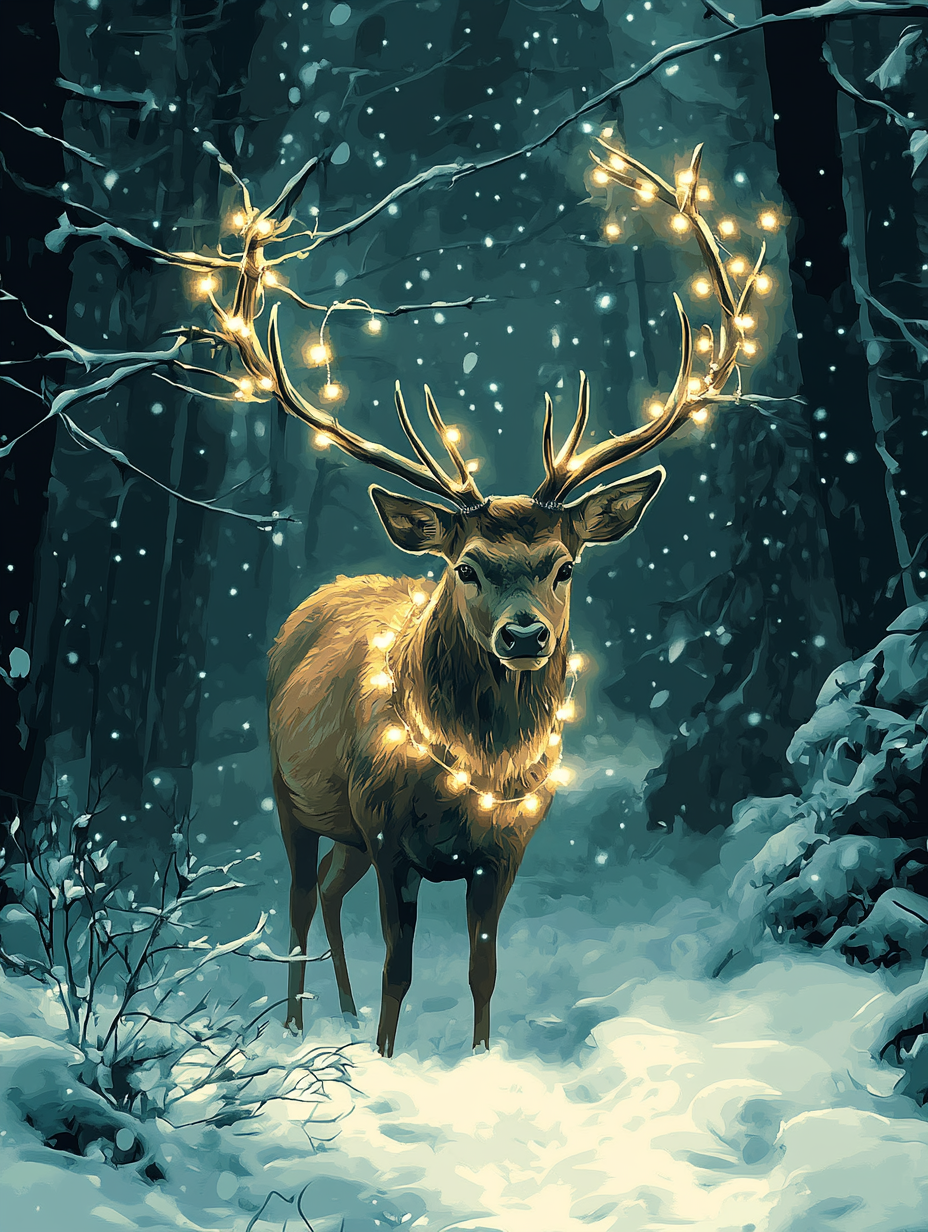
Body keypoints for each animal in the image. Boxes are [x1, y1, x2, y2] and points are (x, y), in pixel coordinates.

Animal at [189, 139, 767, 1055]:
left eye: (564, 566)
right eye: (466, 567)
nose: (525, 637)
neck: (478, 772)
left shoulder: (508, 845)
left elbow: (483, 971)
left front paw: (478, 1058)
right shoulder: (389, 831)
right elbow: (399, 969)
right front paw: (386, 1059)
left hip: (346, 828)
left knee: (328, 893)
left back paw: (339, 1015)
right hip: (290, 791)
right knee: (296, 903)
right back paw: (299, 1024)